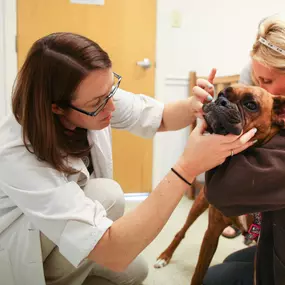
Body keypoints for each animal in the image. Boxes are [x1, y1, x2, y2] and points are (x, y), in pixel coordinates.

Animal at [154, 84, 284, 284]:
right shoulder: (212, 232)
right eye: (222, 94)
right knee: (182, 231)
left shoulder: (260, 252)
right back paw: (165, 256)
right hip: (199, 204)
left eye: (251, 105)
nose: (220, 100)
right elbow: (198, 274)